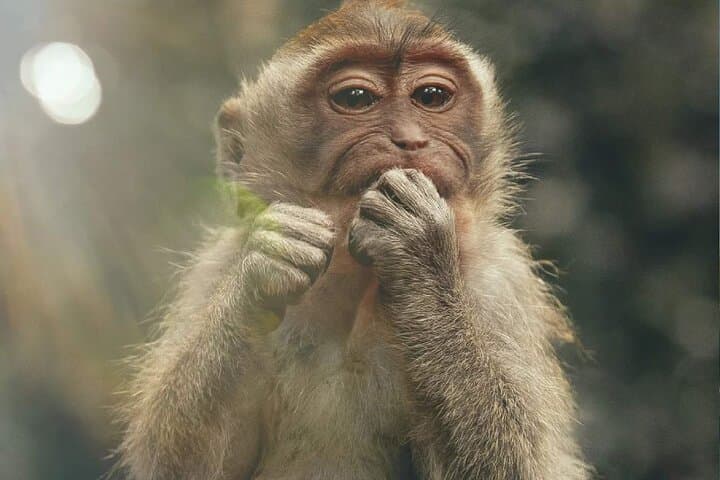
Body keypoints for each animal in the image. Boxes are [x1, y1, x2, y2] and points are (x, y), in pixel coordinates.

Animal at [117, 1, 589, 479]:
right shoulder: (215, 266)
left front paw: (418, 252)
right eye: (356, 98)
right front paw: (260, 274)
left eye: (431, 96)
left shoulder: (498, 282)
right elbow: (178, 465)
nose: (410, 139)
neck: (354, 282)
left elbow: (521, 467)